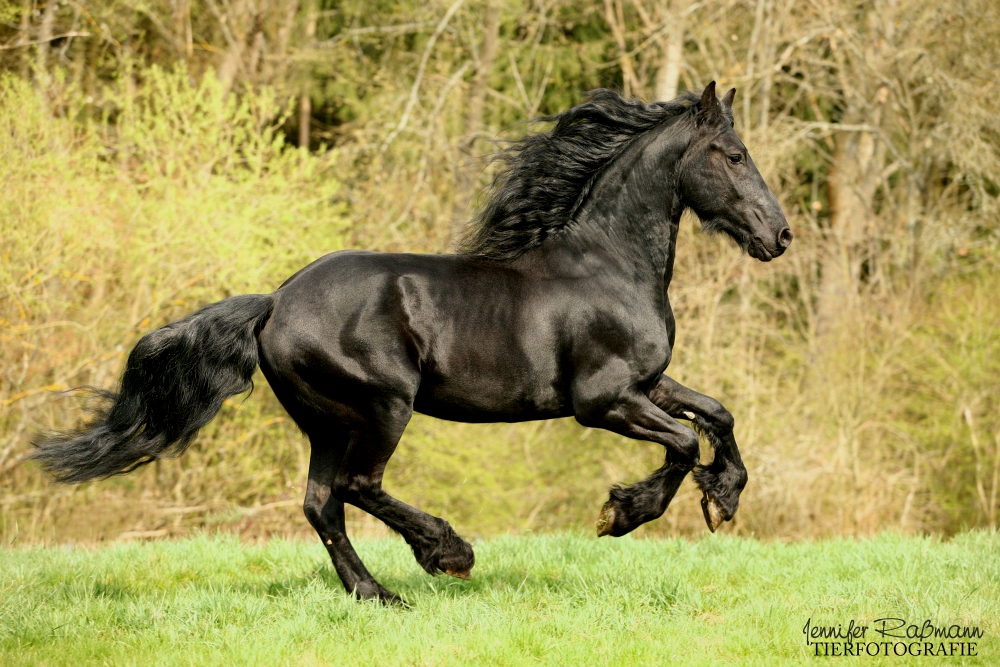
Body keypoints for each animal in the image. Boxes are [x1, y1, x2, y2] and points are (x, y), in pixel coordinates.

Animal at [35, 81, 792, 604]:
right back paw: (447, 554)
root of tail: (275, 302)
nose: (779, 236)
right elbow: (683, 440)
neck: (609, 264)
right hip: (382, 405)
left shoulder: (646, 382)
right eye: (733, 155)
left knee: (322, 502)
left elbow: (717, 413)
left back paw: (378, 594)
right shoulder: (602, 400)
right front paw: (623, 513)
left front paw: (723, 497)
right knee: (358, 486)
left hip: (327, 420)